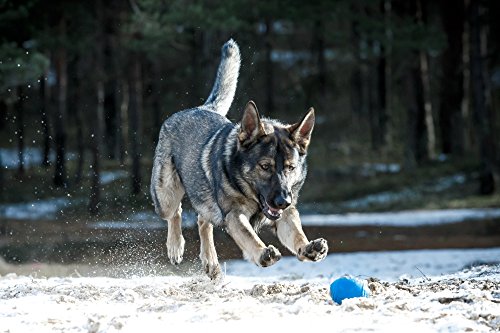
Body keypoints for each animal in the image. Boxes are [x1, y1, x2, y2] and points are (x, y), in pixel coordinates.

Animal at [149, 39, 328, 278]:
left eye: (290, 167)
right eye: (265, 166)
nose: (283, 201)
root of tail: (201, 107)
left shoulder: (285, 214)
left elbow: (297, 233)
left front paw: (308, 247)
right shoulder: (234, 215)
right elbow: (249, 236)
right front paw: (262, 252)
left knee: (202, 220)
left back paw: (210, 262)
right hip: (165, 196)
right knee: (175, 212)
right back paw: (175, 246)